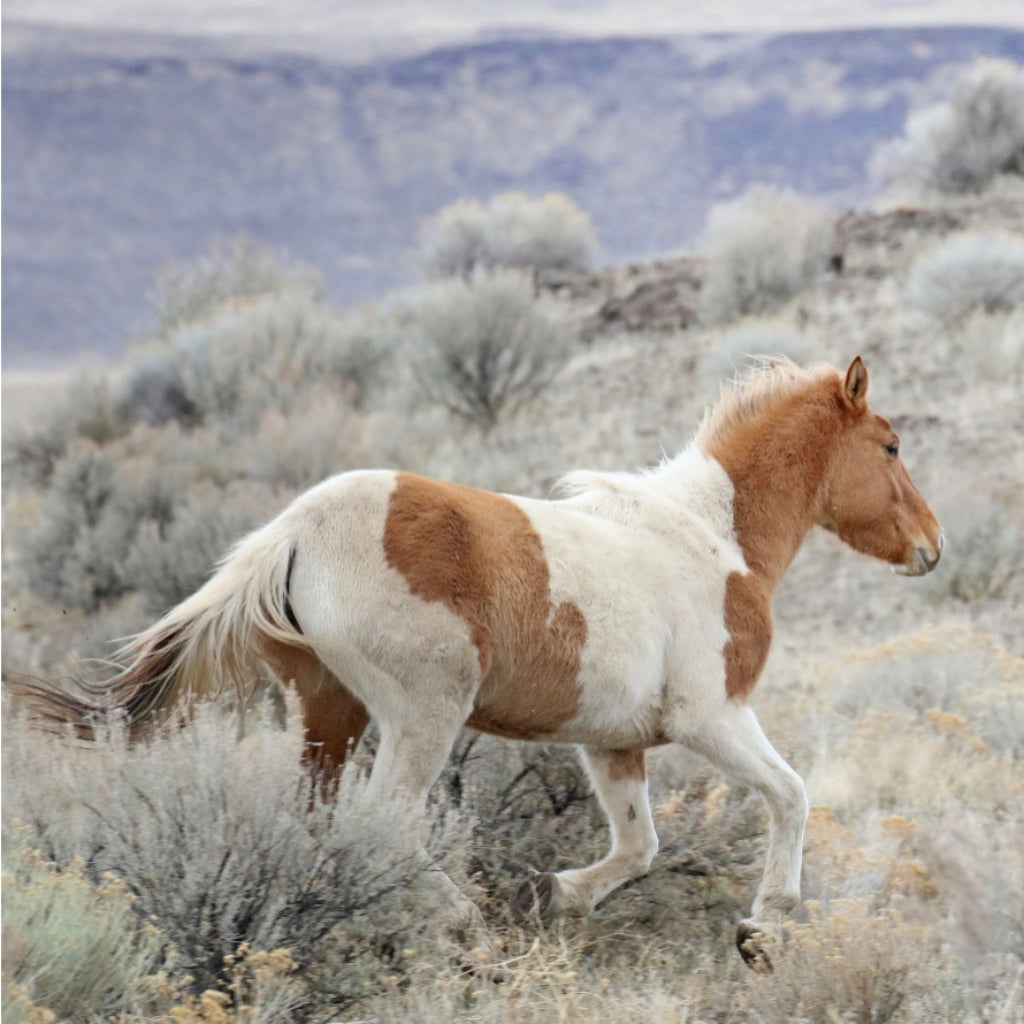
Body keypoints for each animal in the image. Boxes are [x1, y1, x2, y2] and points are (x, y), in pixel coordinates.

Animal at [12, 356, 946, 962]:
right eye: (892, 446)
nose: (932, 547)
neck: (715, 540)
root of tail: (292, 533)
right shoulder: (713, 715)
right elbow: (790, 795)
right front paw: (764, 931)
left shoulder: (613, 742)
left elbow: (638, 846)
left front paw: (551, 895)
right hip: (424, 713)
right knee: (385, 822)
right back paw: (464, 924)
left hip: (330, 709)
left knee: (319, 819)